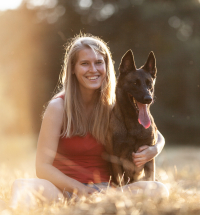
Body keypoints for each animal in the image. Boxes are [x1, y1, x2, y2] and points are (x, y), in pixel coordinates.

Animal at [106, 49, 158, 186]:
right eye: (135, 83)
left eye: (149, 84)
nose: (148, 99)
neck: (134, 123)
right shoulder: (116, 159)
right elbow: (121, 183)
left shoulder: (149, 157)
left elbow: (150, 179)